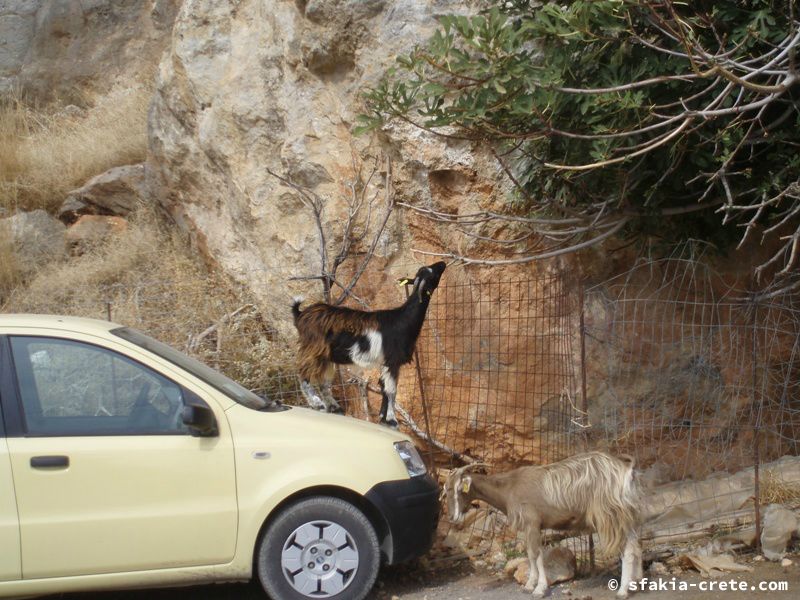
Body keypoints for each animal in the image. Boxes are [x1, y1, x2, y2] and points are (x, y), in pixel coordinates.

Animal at [444, 452, 644, 596]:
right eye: (445, 490)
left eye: (459, 490)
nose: (453, 518)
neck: (509, 487)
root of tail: (626, 470)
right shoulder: (529, 527)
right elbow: (531, 555)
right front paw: (529, 584)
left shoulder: (532, 522)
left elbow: (535, 554)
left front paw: (539, 588)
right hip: (626, 517)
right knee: (636, 545)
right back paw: (636, 583)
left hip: (610, 516)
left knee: (627, 549)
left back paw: (623, 591)